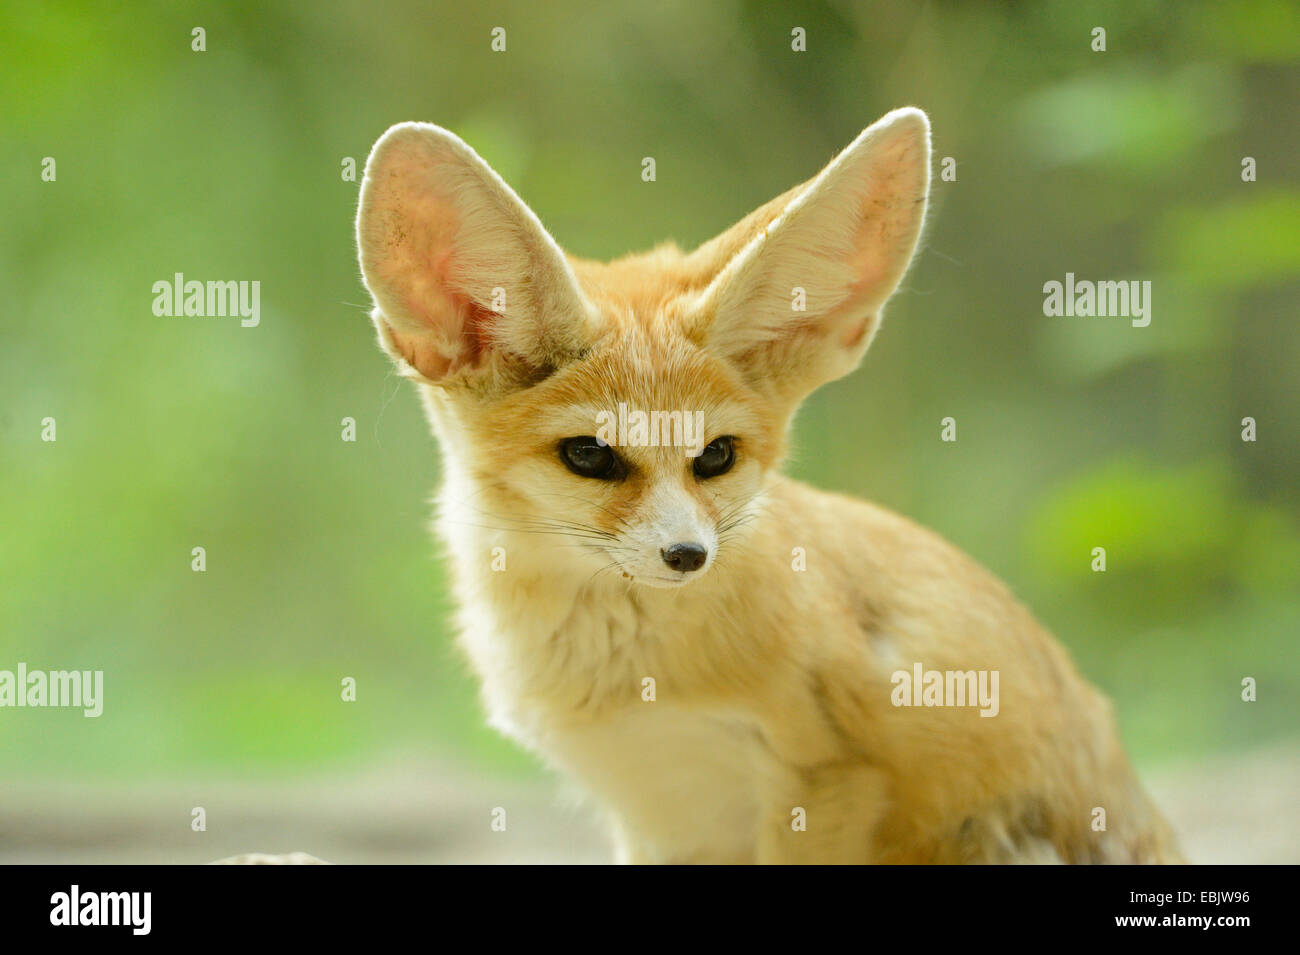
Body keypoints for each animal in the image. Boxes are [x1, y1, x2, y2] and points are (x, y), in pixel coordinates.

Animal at [351, 108, 1185, 862]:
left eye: (716, 456)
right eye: (589, 455)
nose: (688, 555)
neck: (623, 673)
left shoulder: (824, 778)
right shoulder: (658, 823)